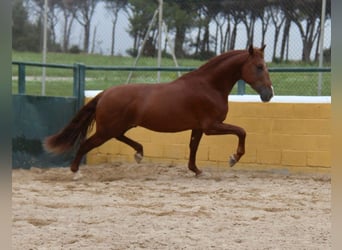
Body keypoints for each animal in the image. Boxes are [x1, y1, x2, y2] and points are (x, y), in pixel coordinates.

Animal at [44, 45, 274, 176]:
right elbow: (241, 131)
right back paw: (75, 172)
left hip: (118, 127)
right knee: (86, 144)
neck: (209, 86)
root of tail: (105, 93)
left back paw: (139, 152)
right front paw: (234, 158)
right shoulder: (211, 126)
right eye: (259, 67)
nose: (269, 94)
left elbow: (193, 147)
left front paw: (196, 170)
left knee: (119, 137)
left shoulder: (198, 128)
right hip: (106, 130)